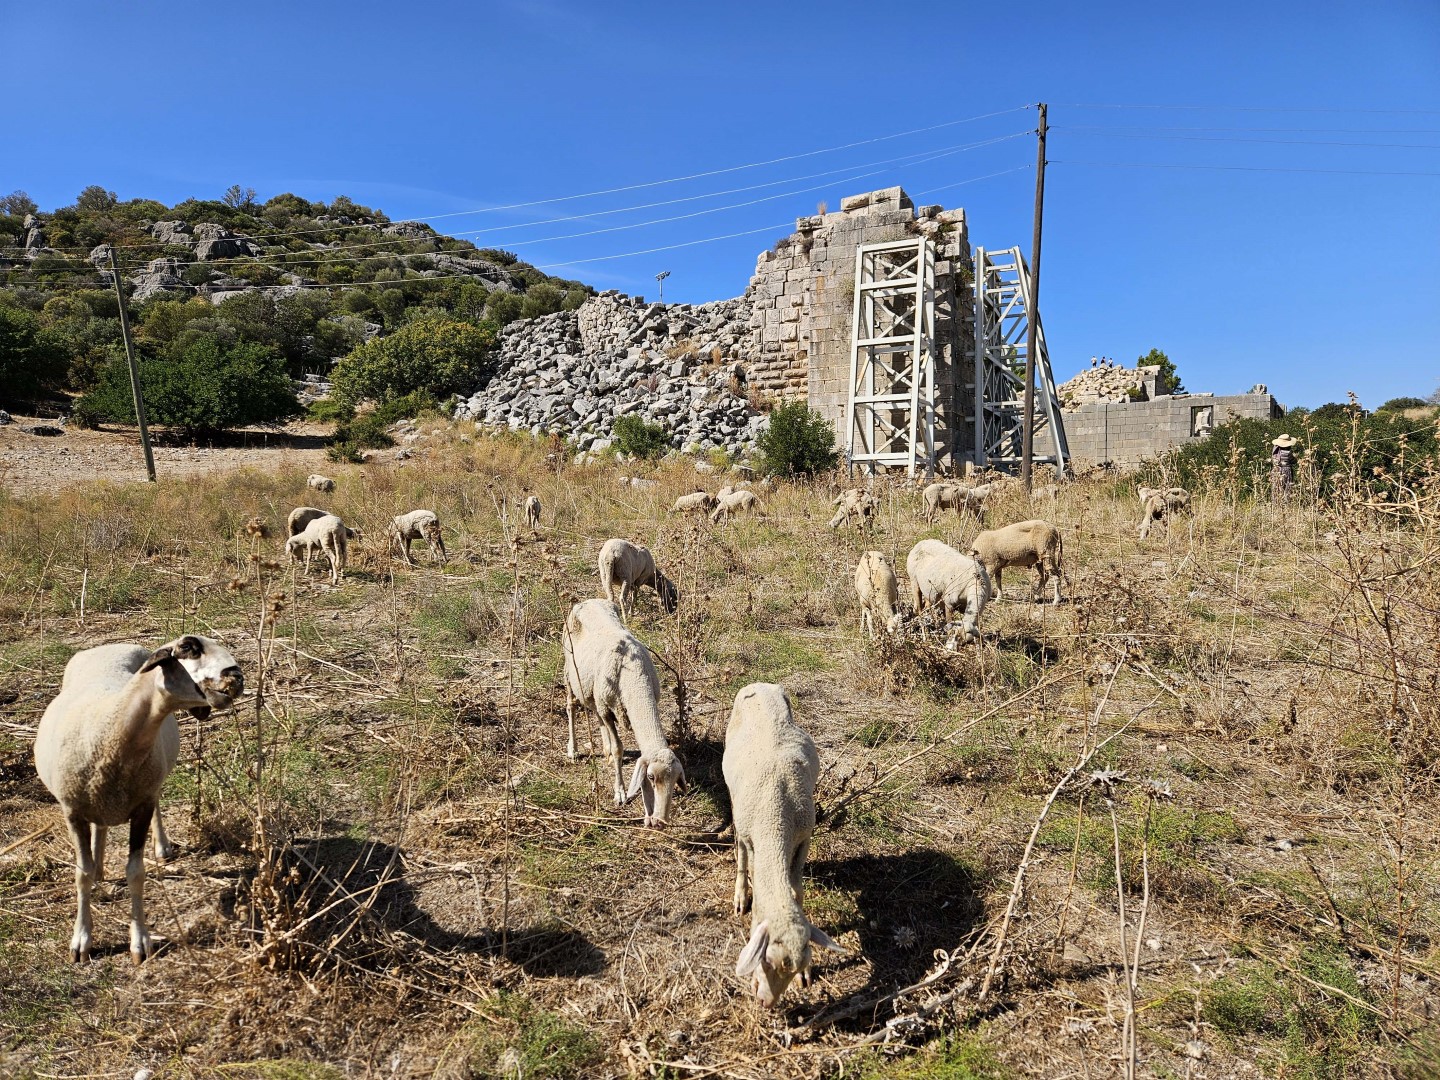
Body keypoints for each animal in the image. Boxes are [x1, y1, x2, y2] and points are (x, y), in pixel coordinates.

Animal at [34, 633, 244, 961]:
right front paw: (81, 940)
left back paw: (161, 847)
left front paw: (140, 941)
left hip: (151, 779)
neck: (111, 729)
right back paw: (100, 866)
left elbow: (136, 873)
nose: (237, 677)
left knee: (155, 804)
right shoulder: (73, 810)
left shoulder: (142, 805)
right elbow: (82, 874)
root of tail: (110, 646)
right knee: (100, 830)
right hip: (99, 798)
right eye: (189, 648)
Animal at [558, 601, 682, 829]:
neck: (634, 677)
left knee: (595, 715)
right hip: (570, 672)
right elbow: (618, 748)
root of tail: (588, 601)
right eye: (651, 777)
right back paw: (573, 749)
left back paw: (604, 750)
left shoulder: (606, 704)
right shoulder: (607, 708)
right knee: (571, 706)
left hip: (593, 689)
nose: (661, 821)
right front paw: (621, 793)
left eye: (677, 778)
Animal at [725, 679, 840, 1013]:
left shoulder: (803, 838)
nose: (766, 1003)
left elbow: (797, 890)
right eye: (766, 960)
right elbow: (748, 869)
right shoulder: (752, 837)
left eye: (794, 967)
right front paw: (744, 901)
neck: (776, 816)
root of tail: (760, 684)